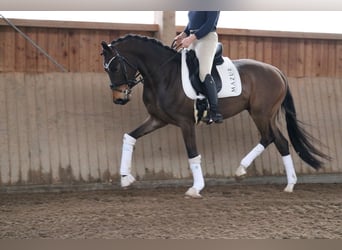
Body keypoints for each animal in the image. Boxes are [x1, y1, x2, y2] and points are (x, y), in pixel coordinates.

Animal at [100, 34, 330, 197]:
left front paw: (196, 188)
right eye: (106, 68)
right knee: (278, 140)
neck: (163, 75)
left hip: (261, 114)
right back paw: (278, 181)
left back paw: (256, 174)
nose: (119, 98)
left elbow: (192, 153)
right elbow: (129, 137)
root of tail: (276, 71)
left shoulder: (186, 122)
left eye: (116, 66)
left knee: (271, 138)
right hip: (264, 115)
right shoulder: (158, 119)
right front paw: (125, 178)